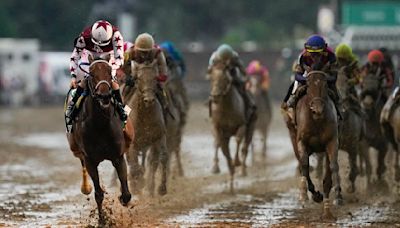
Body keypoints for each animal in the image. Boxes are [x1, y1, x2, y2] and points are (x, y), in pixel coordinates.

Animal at [66, 59, 133, 220]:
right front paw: (102, 220)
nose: (104, 95)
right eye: (91, 74)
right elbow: (98, 194)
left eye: (109, 72)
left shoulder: (118, 156)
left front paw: (122, 199)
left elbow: (126, 193)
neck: (100, 124)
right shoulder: (90, 159)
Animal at [124, 59, 170, 196]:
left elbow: (163, 157)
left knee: (152, 163)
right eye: (138, 78)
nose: (149, 100)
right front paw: (136, 185)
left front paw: (161, 188)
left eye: (155, 78)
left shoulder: (159, 137)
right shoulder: (132, 143)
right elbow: (134, 164)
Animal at [208, 63, 255, 191]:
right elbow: (220, 145)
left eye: (225, 79)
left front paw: (237, 162)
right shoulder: (217, 127)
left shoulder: (242, 125)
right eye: (211, 78)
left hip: (251, 127)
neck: (227, 108)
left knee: (245, 147)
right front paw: (217, 168)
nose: (215, 96)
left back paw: (242, 170)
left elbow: (238, 140)